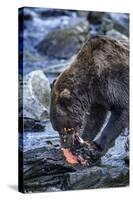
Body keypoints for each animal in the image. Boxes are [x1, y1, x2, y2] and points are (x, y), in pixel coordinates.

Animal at [50, 35, 129, 165]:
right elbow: (94, 119)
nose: (64, 146)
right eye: (56, 129)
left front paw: (95, 148)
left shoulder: (117, 82)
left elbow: (121, 111)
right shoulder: (99, 98)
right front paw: (83, 142)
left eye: (65, 128)